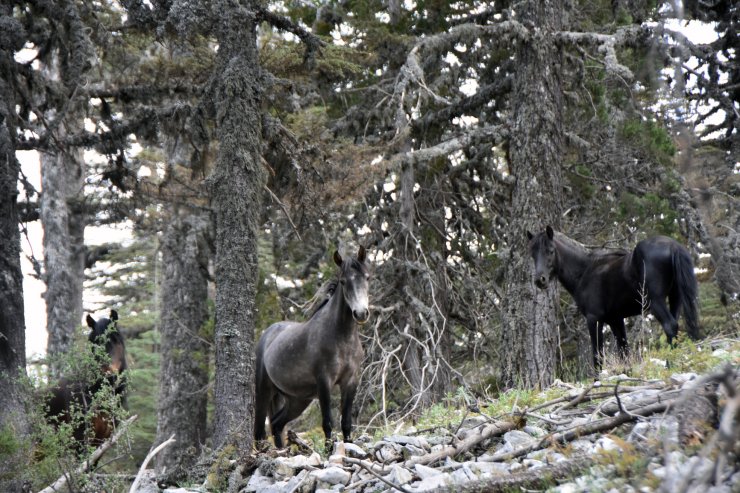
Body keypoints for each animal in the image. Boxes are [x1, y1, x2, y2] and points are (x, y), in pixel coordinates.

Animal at [254, 245, 370, 446]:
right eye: (343, 281)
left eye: (367, 277)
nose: (361, 313)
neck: (342, 338)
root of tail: (267, 333)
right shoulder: (324, 382)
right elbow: (328, 422)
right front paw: (329, 448)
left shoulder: (351, 381)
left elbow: (346, 422)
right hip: (264, 391)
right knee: (260, 431)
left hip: (298, 400)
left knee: (276, 423)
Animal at [528, 225, 700, 368]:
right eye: (533, 254)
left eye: (550, 250)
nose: (540, 280)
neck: (585, 271)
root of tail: (673, 246)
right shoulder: (615, 320)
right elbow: (624, 351)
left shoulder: (594, 319)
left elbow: (597, 356)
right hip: (675, 299)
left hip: (656, 302)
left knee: (670, 326)